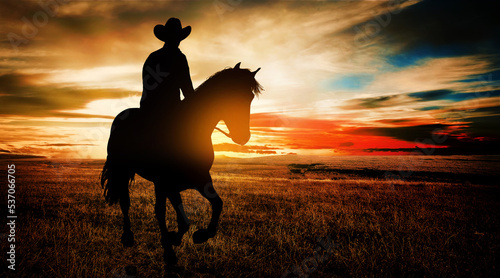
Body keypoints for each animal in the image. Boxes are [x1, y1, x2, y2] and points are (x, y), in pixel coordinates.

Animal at [98, 63, 262, 264]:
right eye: (231, 96)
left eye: (250, 97)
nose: (243, 137)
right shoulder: (167, 182)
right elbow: (178, 219)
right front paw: (173, 242)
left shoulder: (200, 178)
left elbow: (217, 204)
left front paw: (199, 235)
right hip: (124, 171)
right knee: (125, 201)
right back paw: (128, 236)